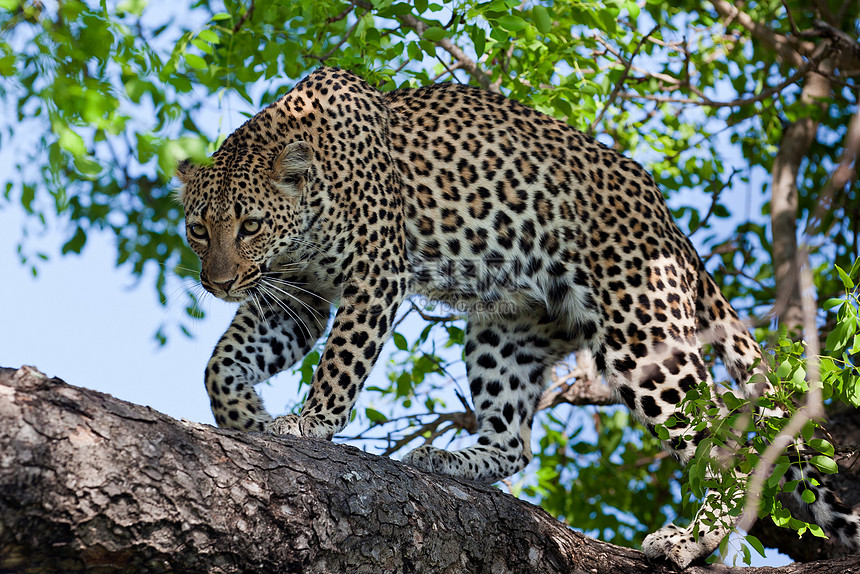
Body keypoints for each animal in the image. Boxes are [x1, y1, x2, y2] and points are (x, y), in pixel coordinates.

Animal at [176, 66, 860, 568]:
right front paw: (245, 416)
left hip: (643, 335)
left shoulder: (374, 278)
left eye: (249, 226)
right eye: (198, 230)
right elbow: (222, 362)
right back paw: (452, 461)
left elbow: (341, 363)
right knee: (514, 441)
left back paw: (687, 540)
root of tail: (669, 223)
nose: (218, 282)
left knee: (725, 441)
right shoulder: (297, 296)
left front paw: (309, 423)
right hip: (505, 331)